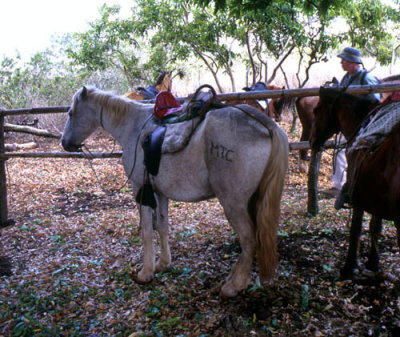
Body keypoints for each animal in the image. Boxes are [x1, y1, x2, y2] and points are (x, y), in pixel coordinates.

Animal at [61, 85, 290, 296]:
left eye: (71, 113)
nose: (64, 143)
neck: (133, 126)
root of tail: (265, 124)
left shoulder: (140, 189)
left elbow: (146, 231)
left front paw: (146, 272)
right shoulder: (160, 192)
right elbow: (162, 226)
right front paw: (163, 263)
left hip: (233, 203)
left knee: (249, 240)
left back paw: (234, 285)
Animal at [310, 84, 400, 278]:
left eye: (316, 109)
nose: (312, 141)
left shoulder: (357, 191)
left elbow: (356, 228)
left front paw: (349, 266)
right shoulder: (376, 195)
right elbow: (375, 227)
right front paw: (373, 263)